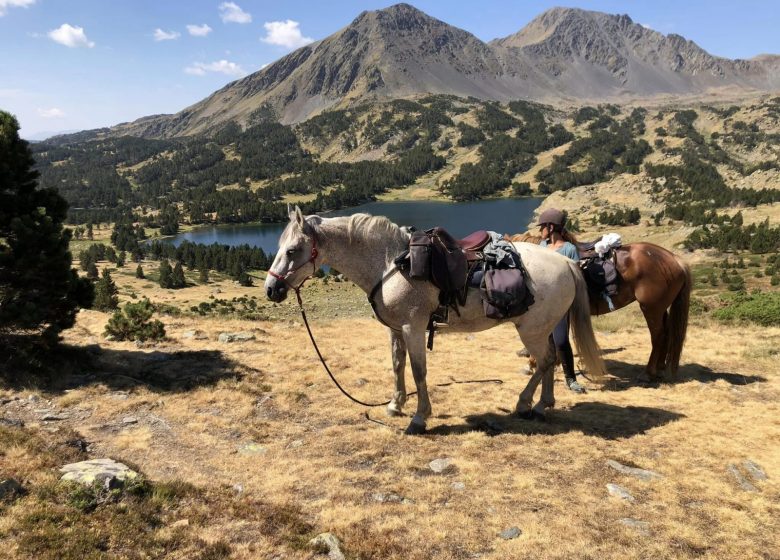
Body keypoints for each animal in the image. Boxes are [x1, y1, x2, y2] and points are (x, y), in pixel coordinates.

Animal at [266, 208, 608, 436]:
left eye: (292, 250)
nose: (271, 290)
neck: (390, 264)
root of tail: (566, 262)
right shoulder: (395, 329)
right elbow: (398, 365)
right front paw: (395, 405)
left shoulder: (413, 328)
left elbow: (419, 371)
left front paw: (419, 418)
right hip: (541, 327)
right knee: (550, 359)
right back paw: (542, 404)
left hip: (531, 331)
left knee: (546, 359)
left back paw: (528, 405)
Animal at [512, 234, 696, 382]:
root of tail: (675, 259)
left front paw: (533, 364)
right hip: (660, 308)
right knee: (666, 334)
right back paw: (660, 368)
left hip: (651, 309)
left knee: (658, 336)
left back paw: (648, 373)